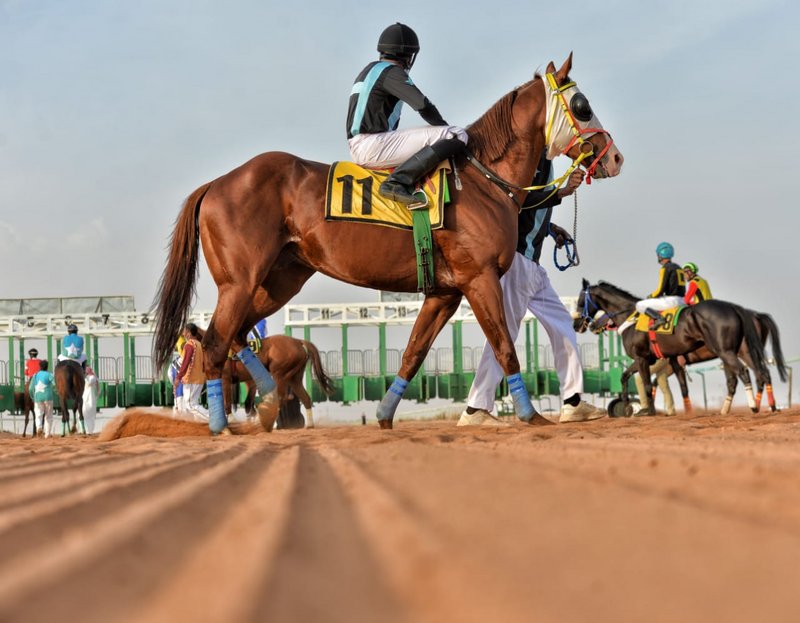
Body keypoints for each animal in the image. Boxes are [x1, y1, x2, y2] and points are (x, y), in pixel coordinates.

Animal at [152, 54, 624, 434]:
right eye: (582, 106)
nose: (615, 158)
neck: (483, 179)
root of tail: (217, 182)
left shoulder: (444, 293)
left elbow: (413, 354)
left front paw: (384, 415)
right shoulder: (479, 278)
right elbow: (505, 347)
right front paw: (529, 415)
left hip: (280, 280)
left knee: (237, 336)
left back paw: (266, 397)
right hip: (241, 281)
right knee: (215, 342)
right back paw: (221, 424)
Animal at [576, 280, 776, 416]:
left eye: (580, 301)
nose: (579, 324)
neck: (631, 317)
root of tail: (734, 308)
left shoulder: (643, 358)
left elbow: (647, 384)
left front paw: (647, 411)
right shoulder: (664, 359)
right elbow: (626, 377)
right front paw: (626, 407)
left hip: (726, 352)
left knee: (744, 373)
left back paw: (753, 406)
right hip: (743, 351)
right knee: (760, 374)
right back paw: (765, 406)